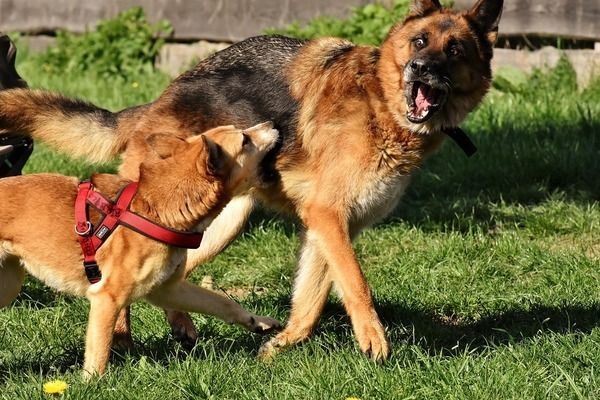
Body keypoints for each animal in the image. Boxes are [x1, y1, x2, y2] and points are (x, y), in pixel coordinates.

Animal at [0, 123, 282, 376]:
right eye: (245, 140)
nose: (272, 123)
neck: (160, 208)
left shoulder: (167, 289)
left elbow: (221, 302)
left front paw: (258, 321)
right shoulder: (106, 298)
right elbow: (99, 353)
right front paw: (92, 385)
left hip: (9, 284)